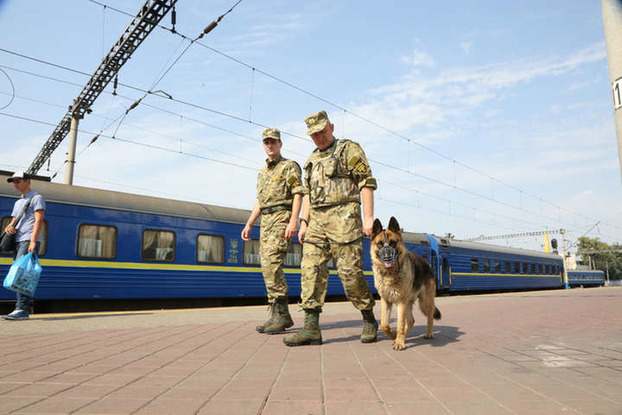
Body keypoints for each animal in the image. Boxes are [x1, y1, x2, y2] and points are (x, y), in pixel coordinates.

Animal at [372, 218, 442, 352]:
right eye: (380, 244)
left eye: (393, 243)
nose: (388, 257)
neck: (389, 274)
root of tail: (426, 262)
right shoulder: (386, 301)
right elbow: (384, 324)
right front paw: (394, 336)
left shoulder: (401, 302)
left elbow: (400, 324)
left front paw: (399, 342)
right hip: (408, 302)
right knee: (411, 321)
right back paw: (402, 337)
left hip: (424, 301)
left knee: (429, 317)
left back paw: (428, 333)